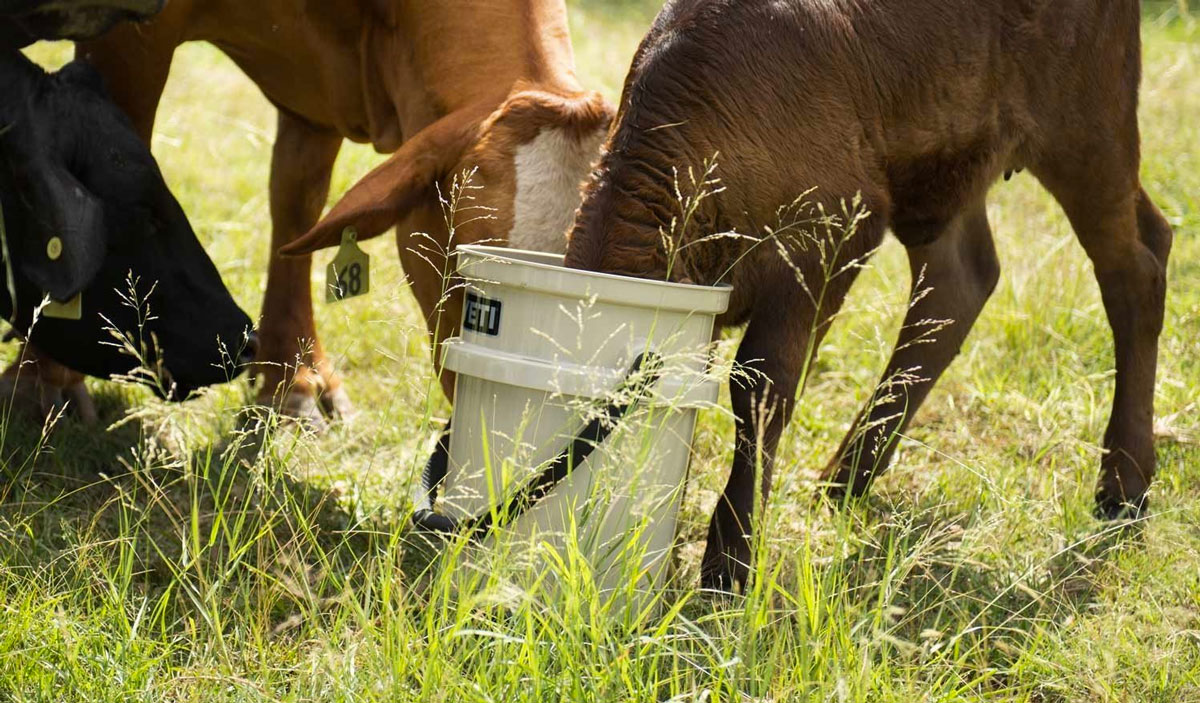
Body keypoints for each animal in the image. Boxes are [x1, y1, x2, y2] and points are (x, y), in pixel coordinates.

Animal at [566, 0, 1176, 587]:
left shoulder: (827, 241)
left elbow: (760, 388)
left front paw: (728, 566)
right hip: (945, 167)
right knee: (962, 279)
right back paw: (847, 476)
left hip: (1089, 125)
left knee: (1135, 265)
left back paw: (1122, 485)